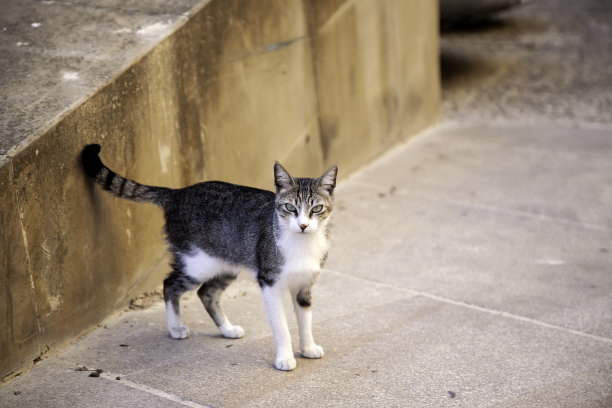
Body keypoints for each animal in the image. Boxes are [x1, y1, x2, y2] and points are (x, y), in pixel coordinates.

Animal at [80, 143, 340, 370]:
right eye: (290, 208)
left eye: (316, 209)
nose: (303, 225)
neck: (301, 244)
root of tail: (177, 193)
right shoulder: (269, 283)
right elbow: (282, 327)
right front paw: (285, 358)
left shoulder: (304, 285)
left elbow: (305, 320)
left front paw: (307, 348)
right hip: (197, 262)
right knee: (170, 284)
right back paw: (175, 328)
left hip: (225, 265)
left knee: (207, 294)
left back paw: (227, 329)